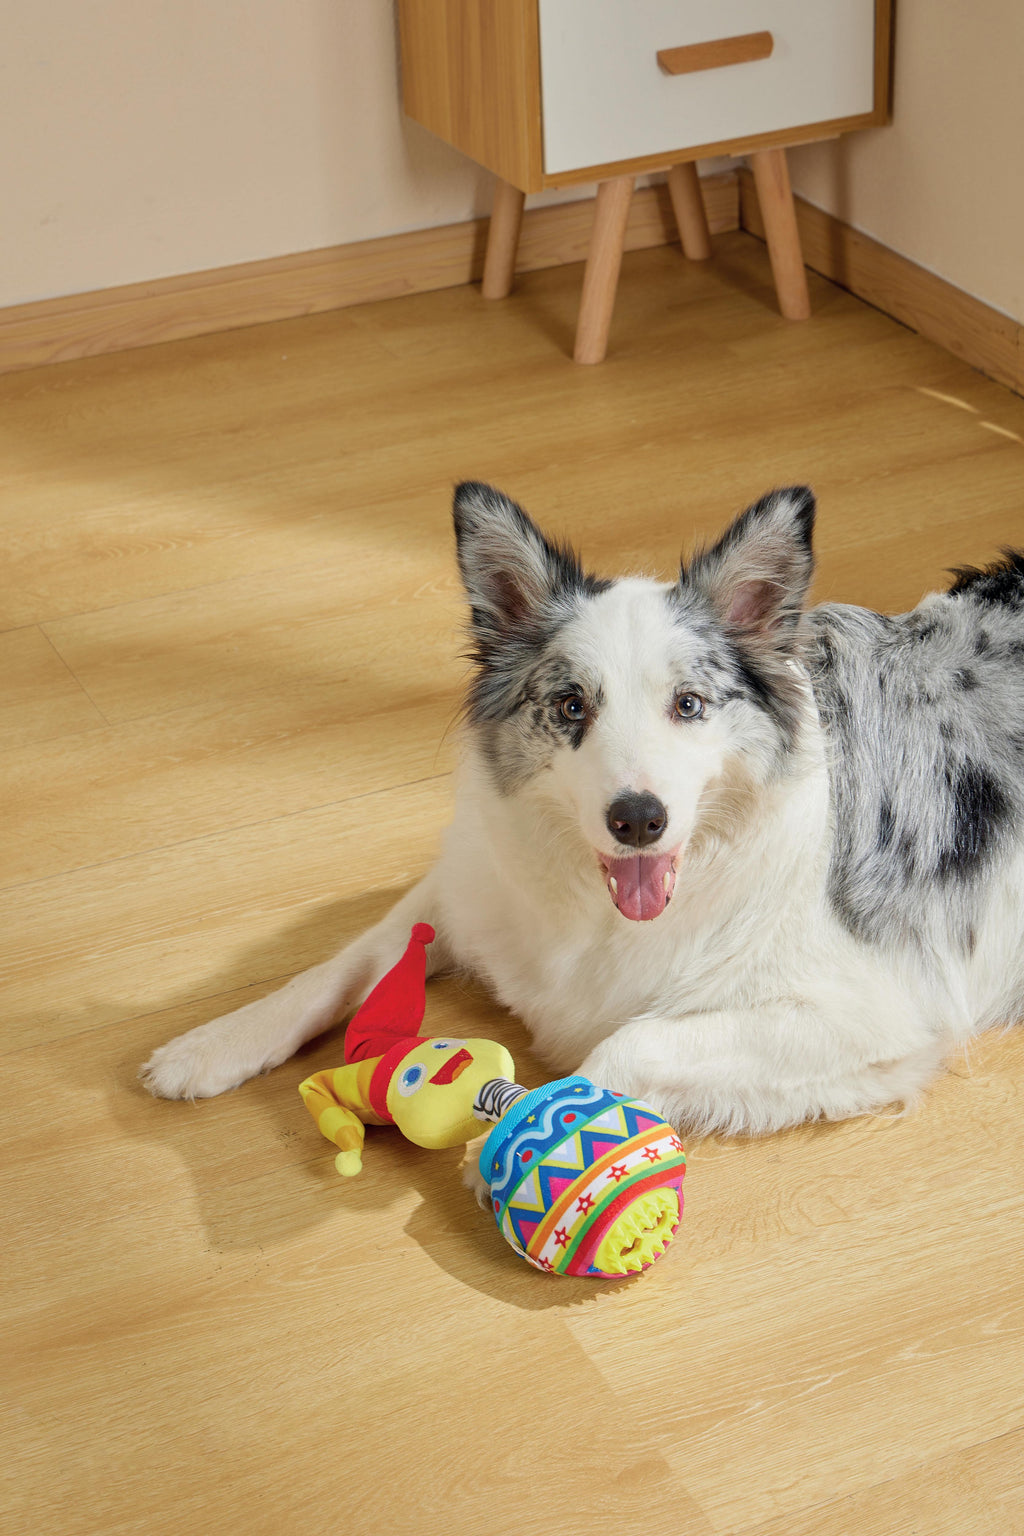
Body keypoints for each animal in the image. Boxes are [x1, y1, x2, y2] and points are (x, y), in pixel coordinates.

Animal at [138, 482, 1024, 1142]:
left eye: (689, 704)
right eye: (570, 706)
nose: (638, 819)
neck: (605, 910)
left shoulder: (874, 1015)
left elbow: (625, 1044)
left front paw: (539, 1140)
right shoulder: (468, 890)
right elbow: (340, 964)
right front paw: (212, 1043)